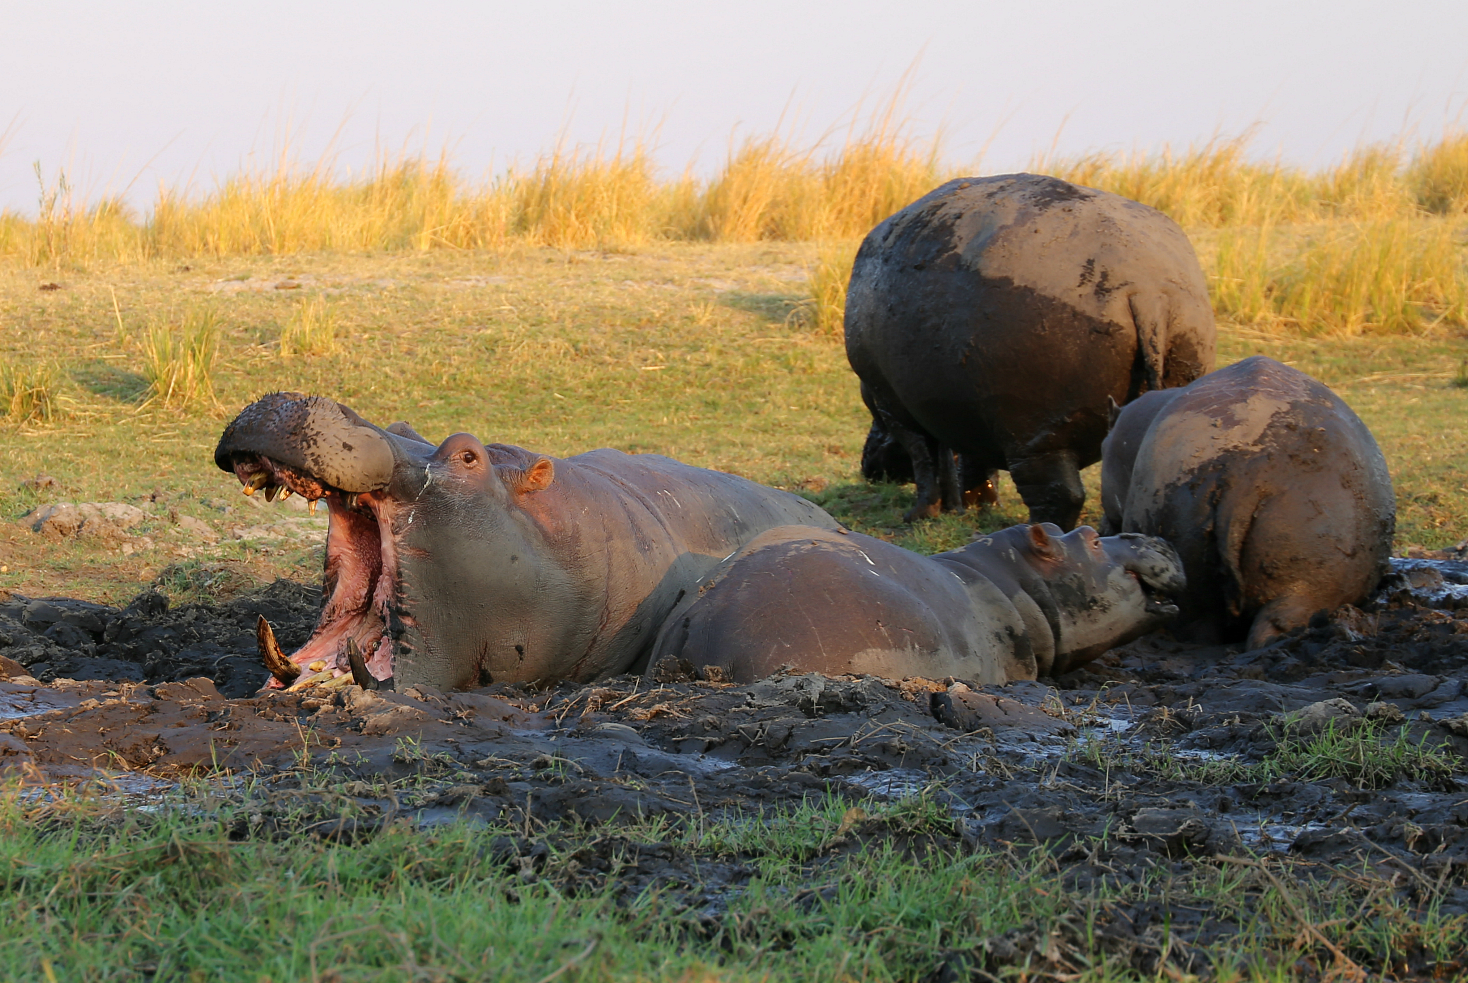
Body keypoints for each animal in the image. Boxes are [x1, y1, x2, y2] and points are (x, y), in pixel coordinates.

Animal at [851, 177, 1215, 531]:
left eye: (872, 418)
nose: (865, 466)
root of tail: (1147, 291)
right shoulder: (969, 413)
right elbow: (973, 461)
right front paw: (975, 506)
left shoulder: (893, 406)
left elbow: (924, 457)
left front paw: (918, 516)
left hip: (1033, 433)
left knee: (1060, 493)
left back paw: (1035, 532)